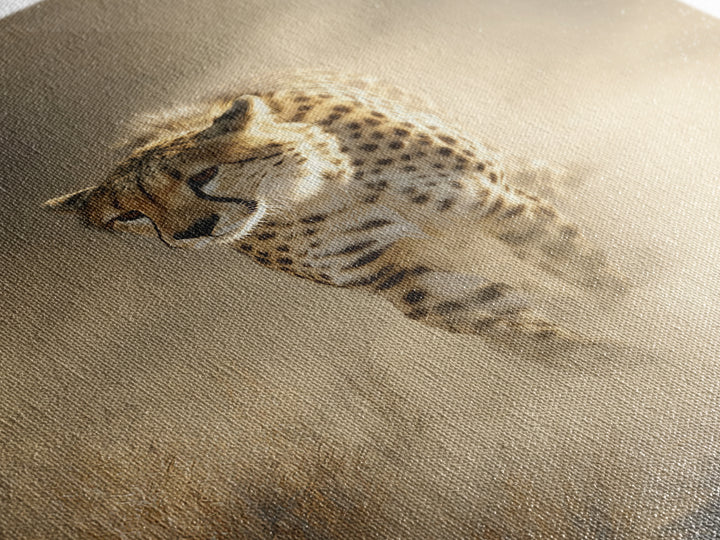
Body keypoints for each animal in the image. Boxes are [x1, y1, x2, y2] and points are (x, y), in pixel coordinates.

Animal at [44, 75, 626, 345]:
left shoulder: (495, 204)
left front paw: (637, 318)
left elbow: (591, 271)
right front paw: (612, 362)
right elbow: (522, 328)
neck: (316, 193)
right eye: (132, 218)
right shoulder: (406, 280)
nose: (192, 233)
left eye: (201, 177)